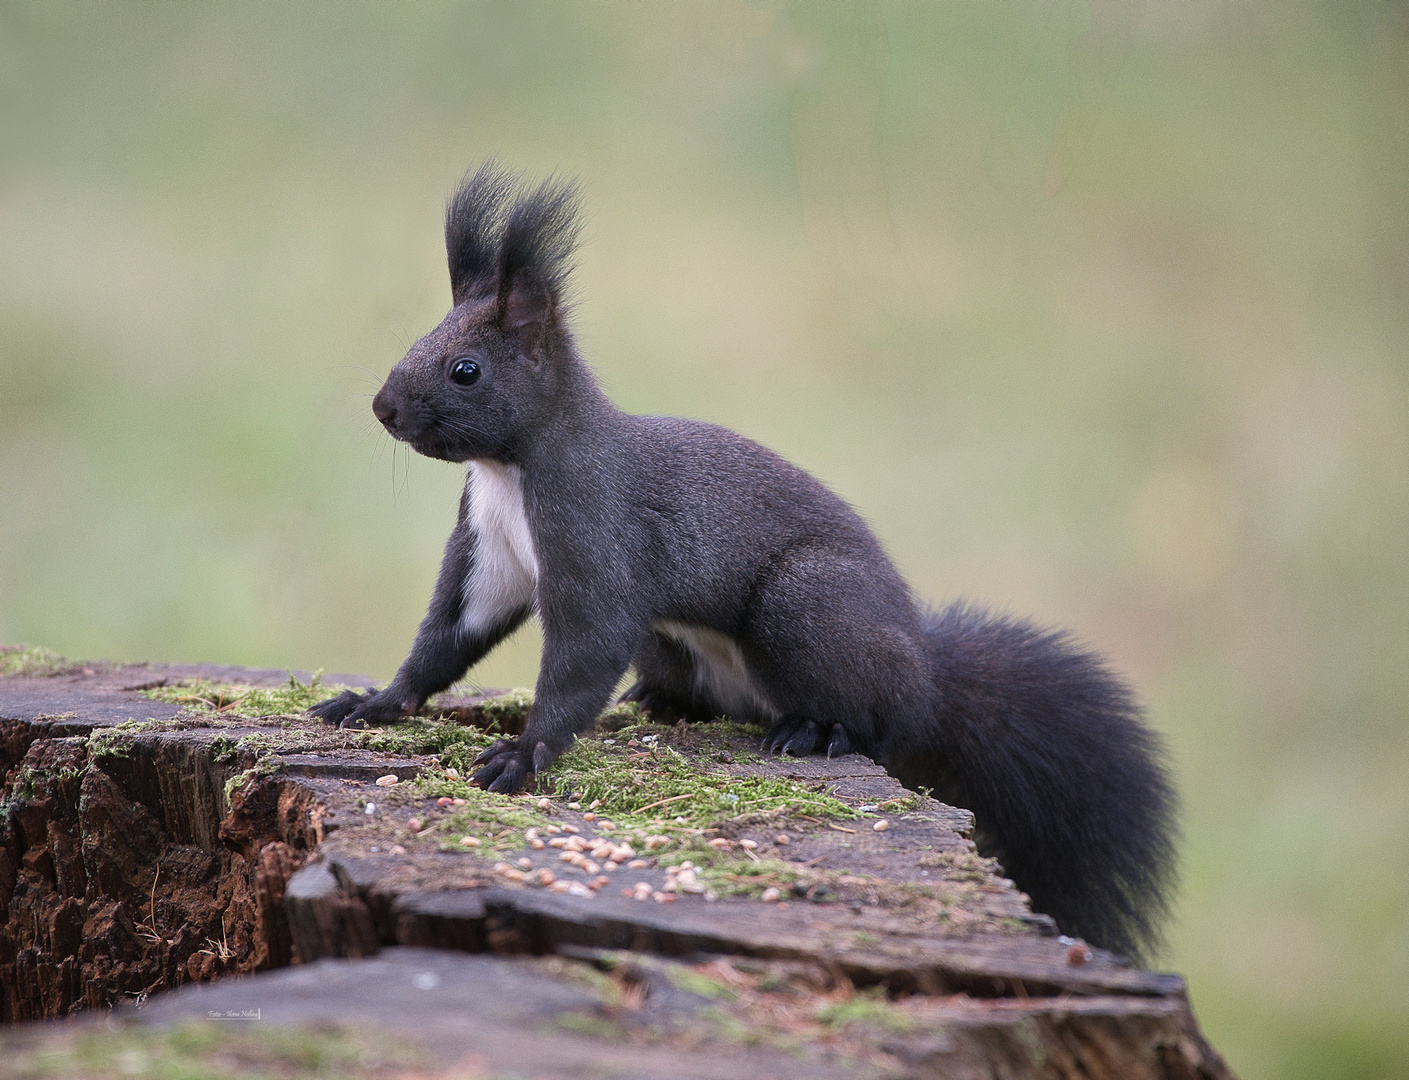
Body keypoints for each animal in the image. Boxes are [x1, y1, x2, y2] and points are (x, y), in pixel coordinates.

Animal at [314, 162, 1183, 963]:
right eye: (416, 342)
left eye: (466, 370)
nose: (383, 409)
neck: (511, 468)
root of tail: (930, 675)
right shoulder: (490, 552)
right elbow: (449, 635)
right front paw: (374, 702)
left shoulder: (598, 533)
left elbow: (581, 652)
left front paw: (521, 755)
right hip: (682, 642)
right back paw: (666, 702)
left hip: (807, 606)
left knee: (882, 718)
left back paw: (819, 730)